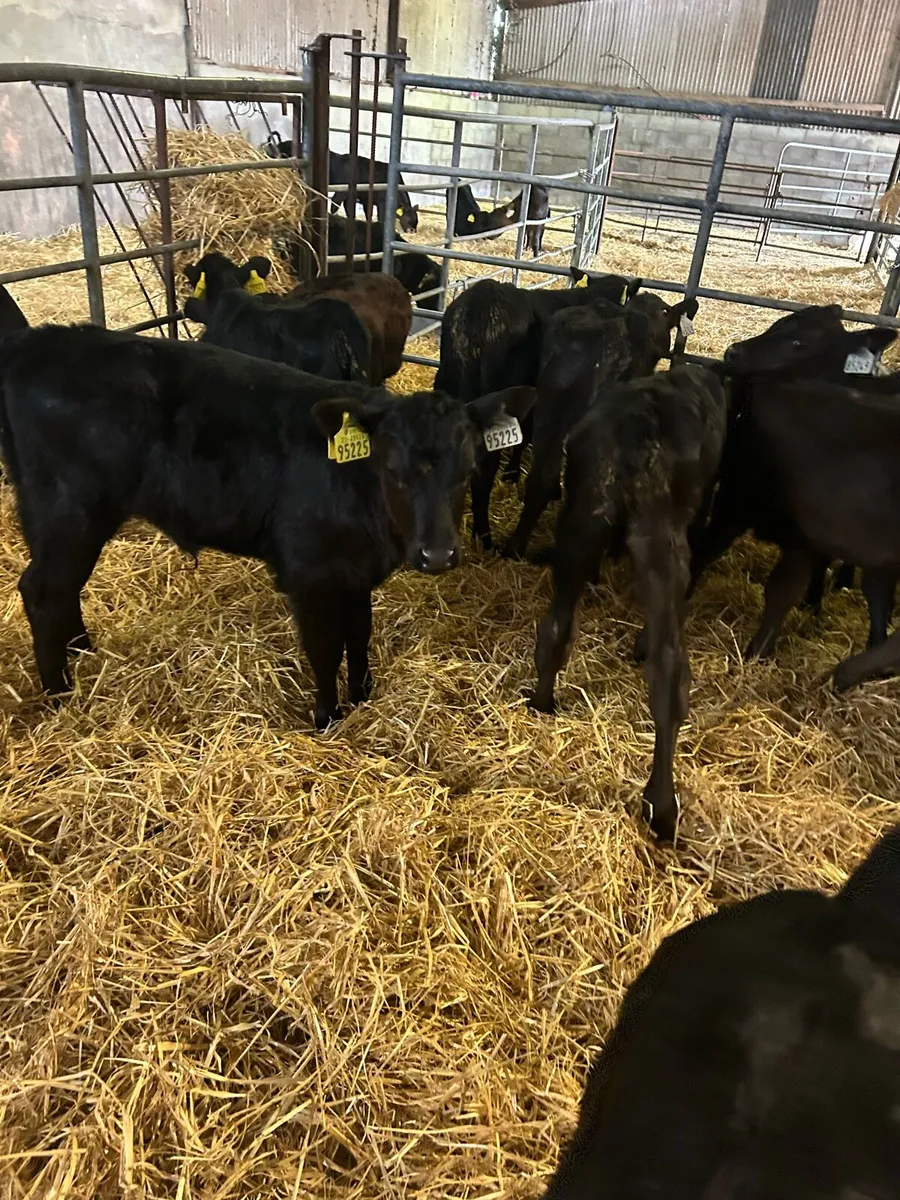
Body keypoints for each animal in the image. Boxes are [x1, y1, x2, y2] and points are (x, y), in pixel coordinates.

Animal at [0, 323, 534, 727]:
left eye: (467, 471)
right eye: (393, 470)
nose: (438, 555)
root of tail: (37, 343)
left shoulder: (355, 572)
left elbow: (359, 633)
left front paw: (363, 694)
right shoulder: (309, 574)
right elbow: (325, 648)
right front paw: (327, 717)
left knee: (62, 589)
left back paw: (82, 652)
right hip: (69, 511)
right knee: (43, 590)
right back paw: (60, 693)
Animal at [263, 136, 419, 233]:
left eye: (416, 221)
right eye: (408, 219)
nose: (412, 231)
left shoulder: (365, 199)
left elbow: (365, 214)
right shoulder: (378, 201)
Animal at [531, 365, 728, 842]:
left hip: (581, 523)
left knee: (555, 628)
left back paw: (542, 701)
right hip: (662, 541)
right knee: (669, 668)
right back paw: (662, 808)